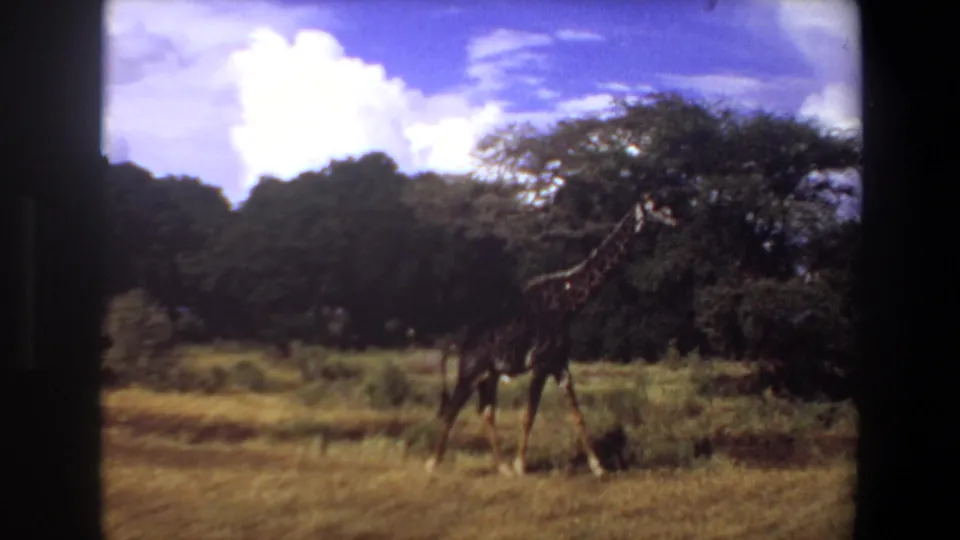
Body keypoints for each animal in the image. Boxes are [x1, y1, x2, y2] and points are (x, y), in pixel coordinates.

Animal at [425, 194, 678, 477]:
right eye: (655, 206)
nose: (674, 218)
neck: (568, 305)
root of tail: (457, 342)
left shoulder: (560, 364)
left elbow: (577, 414)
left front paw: (598, 466)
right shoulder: (541, 363)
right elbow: (529, 415)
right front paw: (521, 465)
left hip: (489, 375)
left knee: (486, 411)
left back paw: (501, 467)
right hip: (470, 372)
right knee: (453, 408)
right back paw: (433, 464)